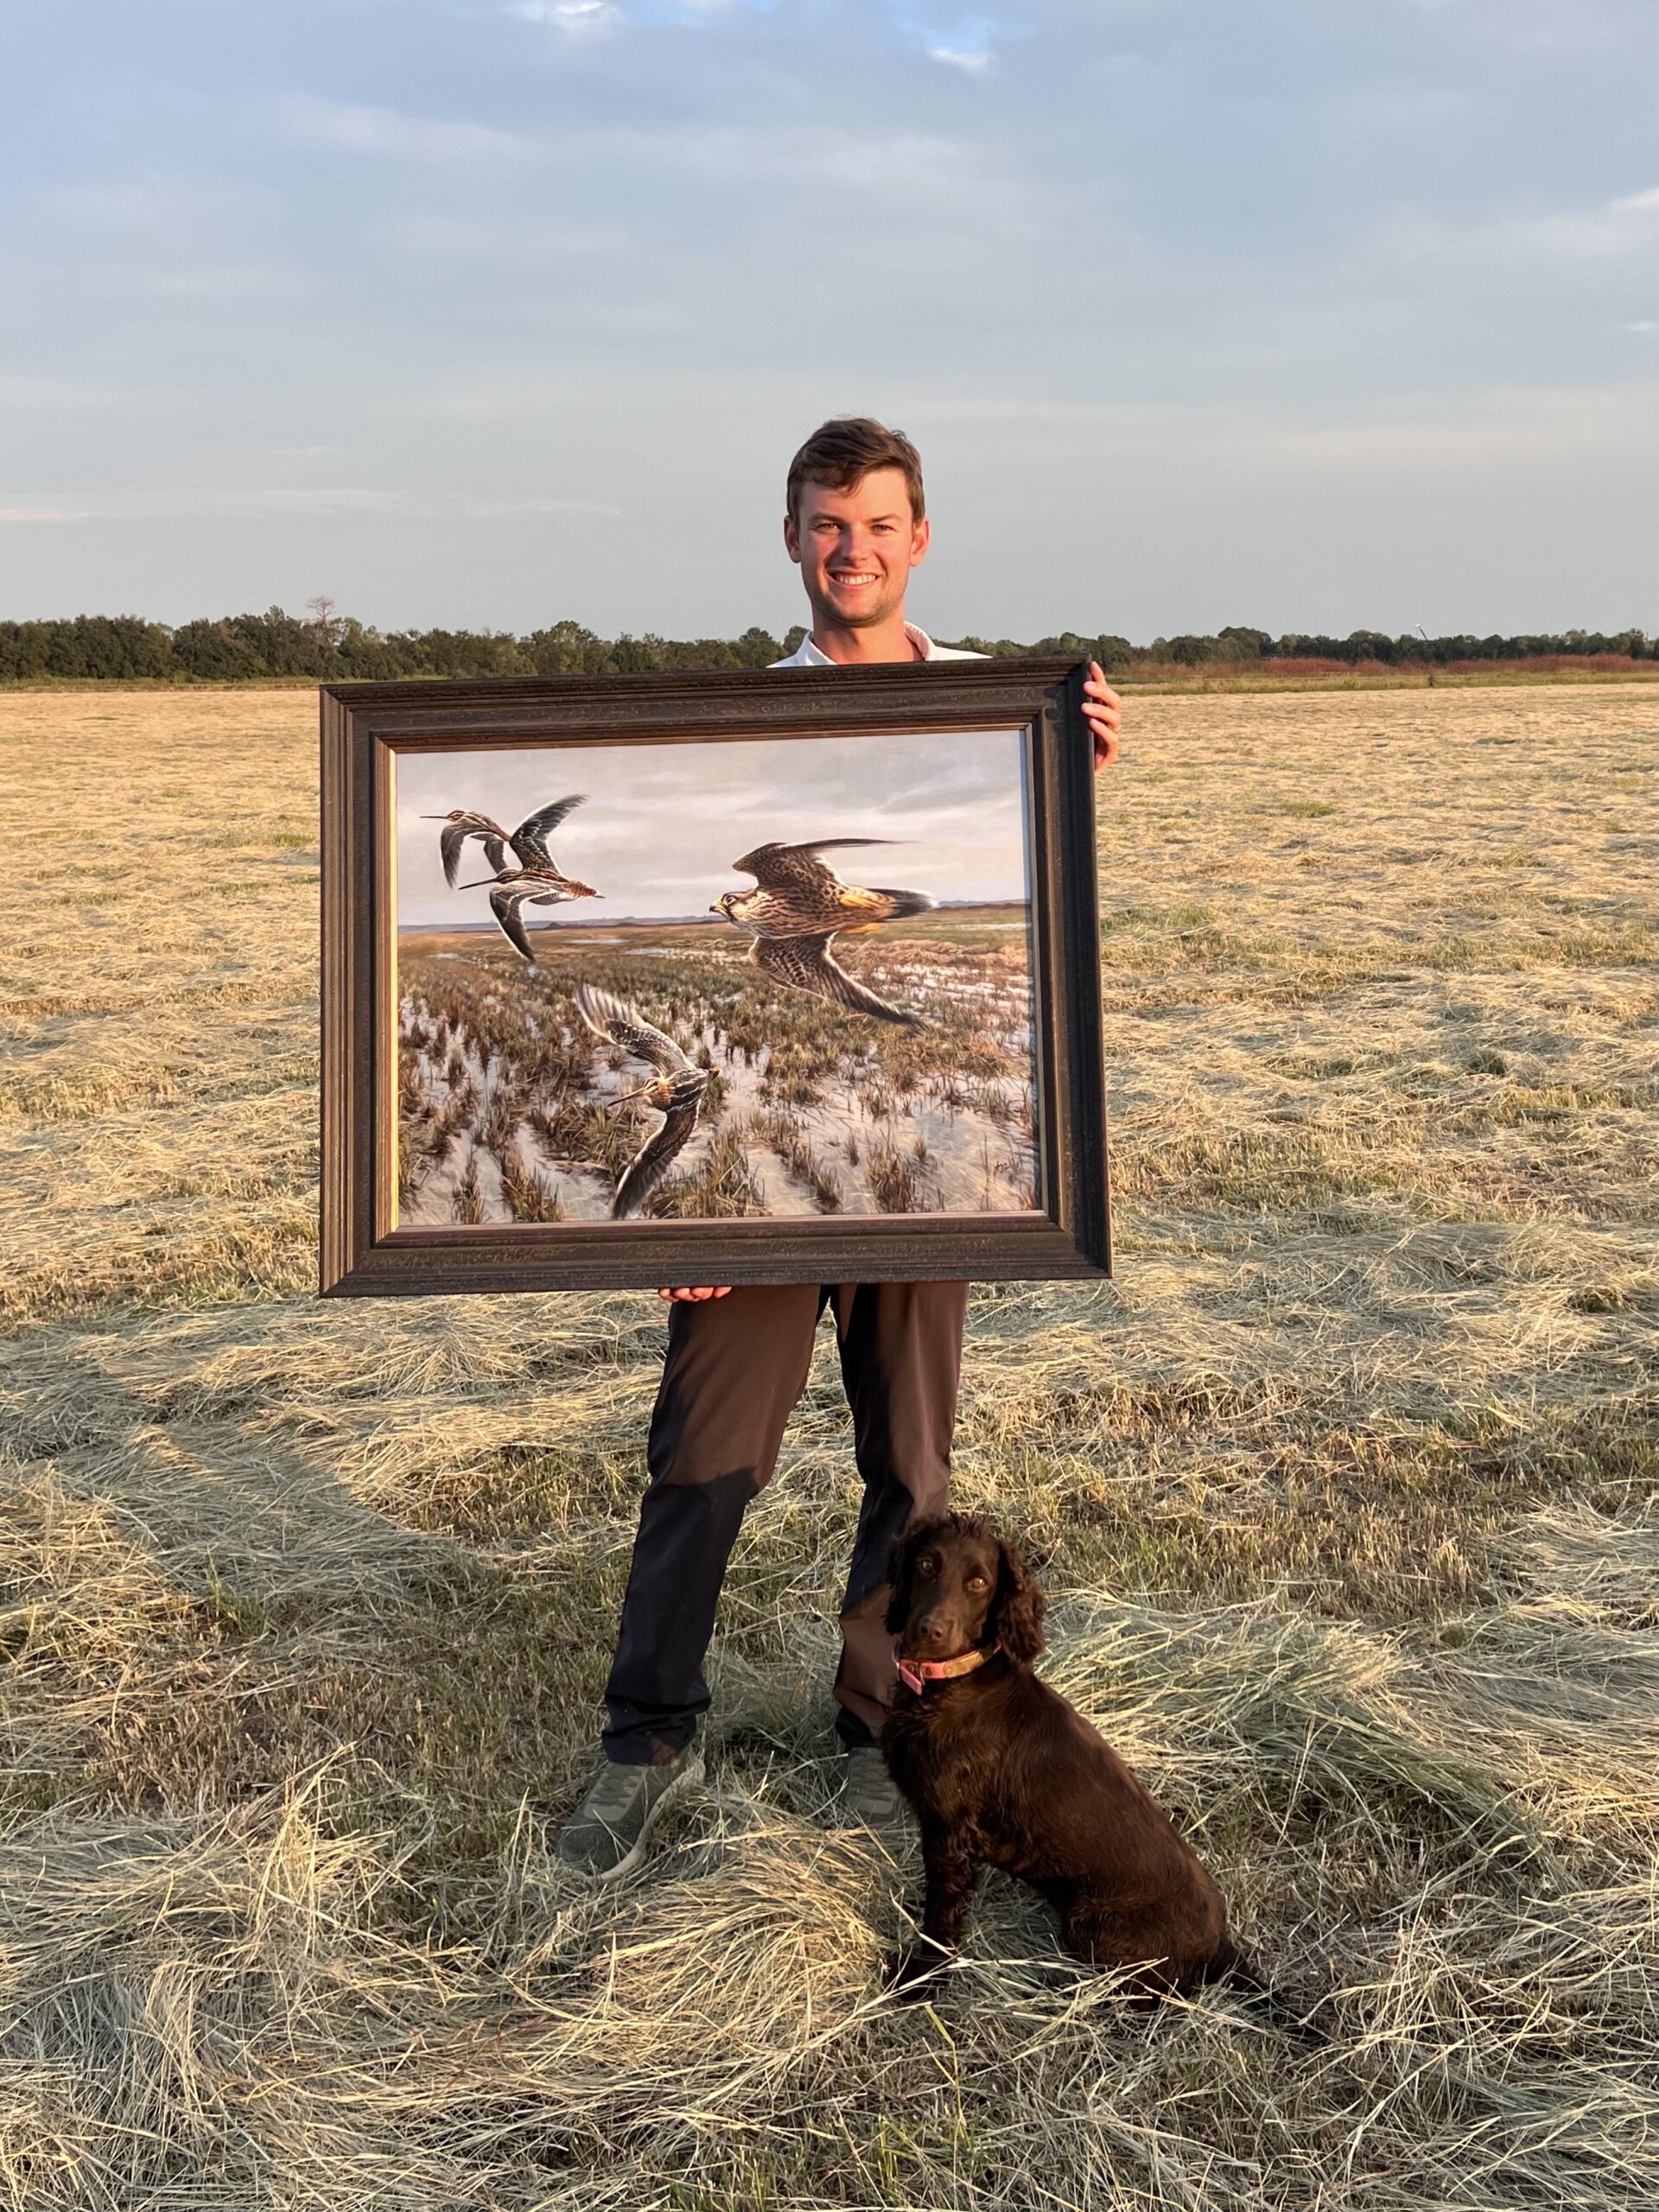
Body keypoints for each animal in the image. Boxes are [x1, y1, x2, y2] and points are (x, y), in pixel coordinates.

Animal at [885, 1513, 1247, 1999]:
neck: (953, 1687)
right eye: (926, 1564)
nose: (929, 1631)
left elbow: (942, 1914)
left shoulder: (950, 1831)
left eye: (979, 1582)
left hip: (1092, 1927)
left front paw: (921, 1980)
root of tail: (1221, 1947)